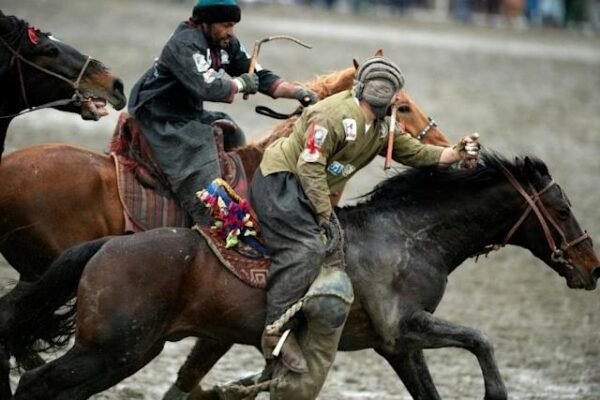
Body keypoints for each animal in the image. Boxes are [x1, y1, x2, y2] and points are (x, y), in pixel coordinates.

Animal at [2, 151, 596, 400]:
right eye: (561, 209)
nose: (592, 267)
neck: (408, 236)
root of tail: (107, 245)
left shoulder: (397, 347)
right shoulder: (406, 328)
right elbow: (480, 339)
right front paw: (496, 391)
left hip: (124, 354)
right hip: (110, 350)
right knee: (34, 384)